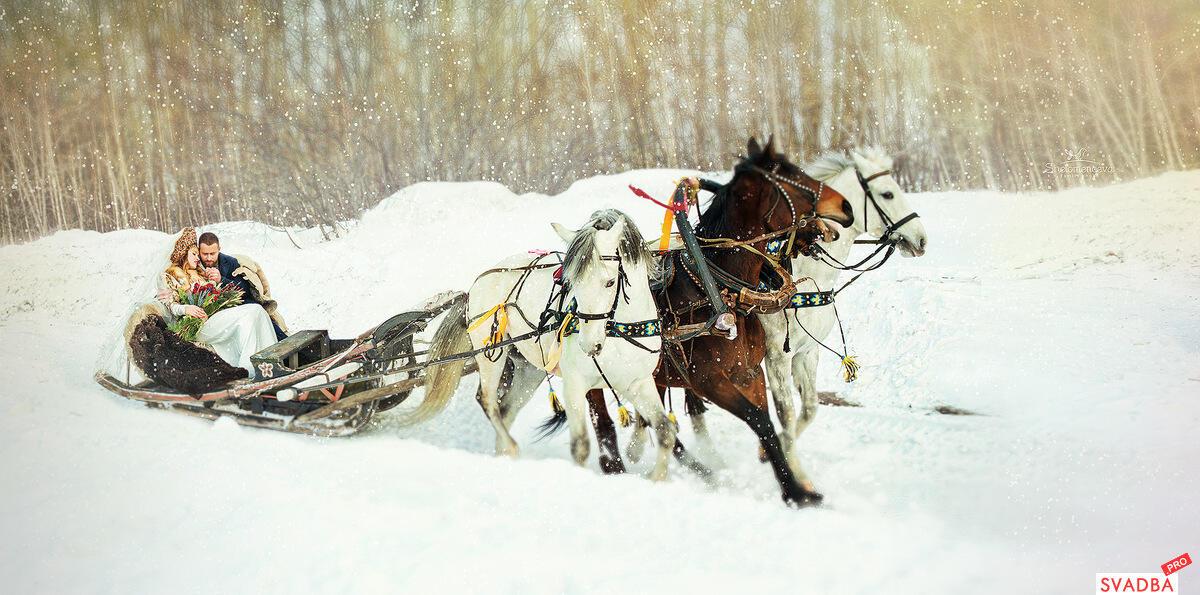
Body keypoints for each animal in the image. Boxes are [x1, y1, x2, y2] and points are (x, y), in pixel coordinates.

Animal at [403, 207, 686, 479]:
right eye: (573, 282)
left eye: (609, 282)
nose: (588, 345)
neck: (617, 332)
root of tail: (476, 284)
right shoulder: (575, 384)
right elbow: (580, 445)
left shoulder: (638, 382)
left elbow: (665, 430)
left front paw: (657, 477)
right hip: (491, 353)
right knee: (488, 400)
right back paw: (510, 446)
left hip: (528, 369)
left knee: (506, 408)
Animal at [588, 136, 854, 506]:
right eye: (791, 178)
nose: (846, 207)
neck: (715, 288)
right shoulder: (710, 381)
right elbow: (761, 421)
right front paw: (794, 491)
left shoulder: (750, 373)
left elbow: (769, 424)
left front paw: (797, 484)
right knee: (601, 415)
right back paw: (615, 464)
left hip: (652, 376)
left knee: (656, 420)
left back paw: (697, 469)